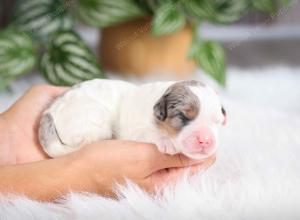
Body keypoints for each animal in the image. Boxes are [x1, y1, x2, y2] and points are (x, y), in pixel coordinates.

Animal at [40, 79, 227, 158]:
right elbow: (150, 134)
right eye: (182, 116)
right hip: (95, 120)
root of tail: (50, 110)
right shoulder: (136, 131)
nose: (205, 140)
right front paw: (166, 141)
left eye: (217, 121)